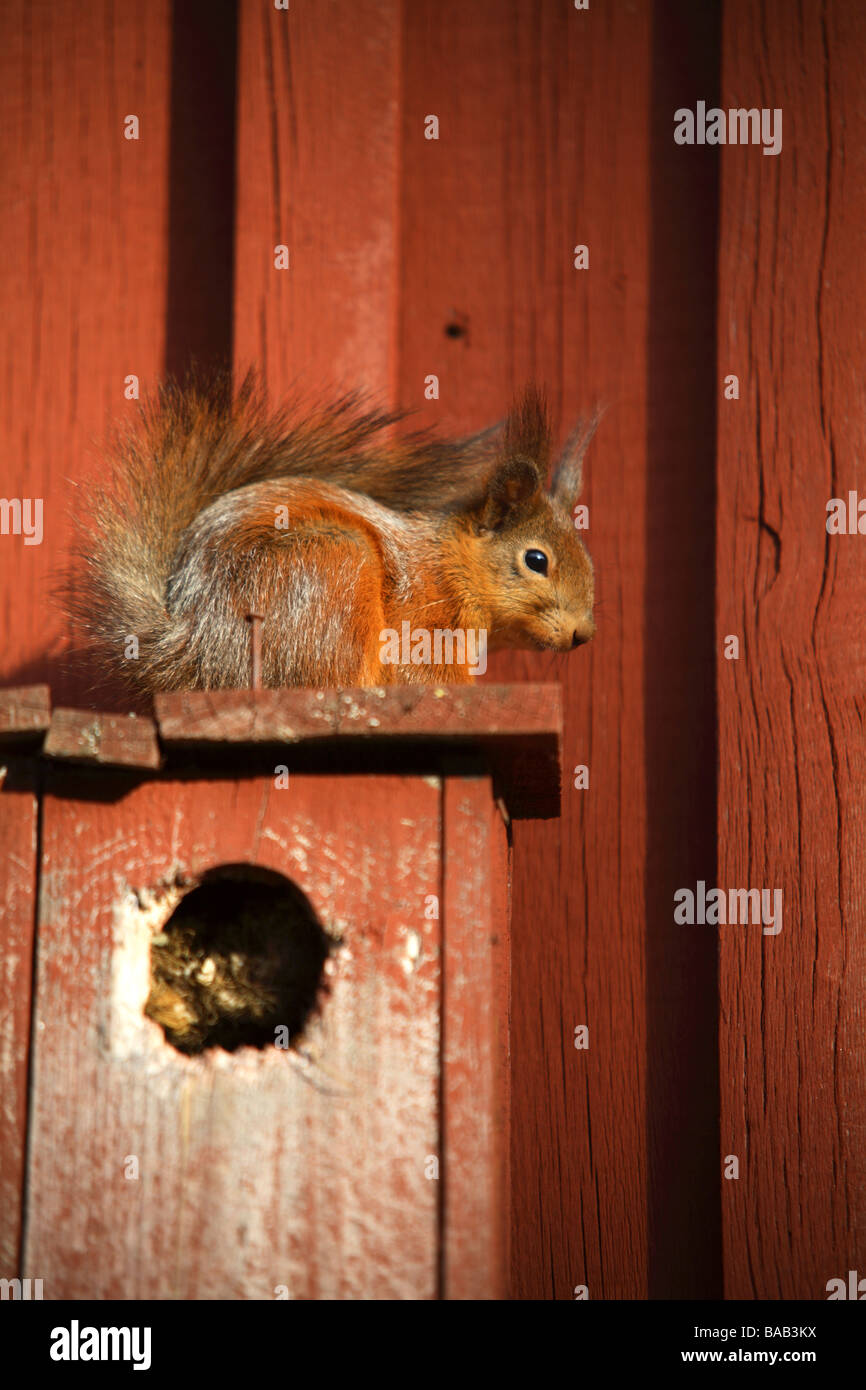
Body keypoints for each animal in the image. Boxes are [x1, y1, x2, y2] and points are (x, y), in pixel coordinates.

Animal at [69, 372, 598, 694]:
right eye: (536, 560)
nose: (583, 635)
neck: (453, 565)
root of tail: (197, 644)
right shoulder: (427, 617)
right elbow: (421, 675)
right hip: (331, 576)